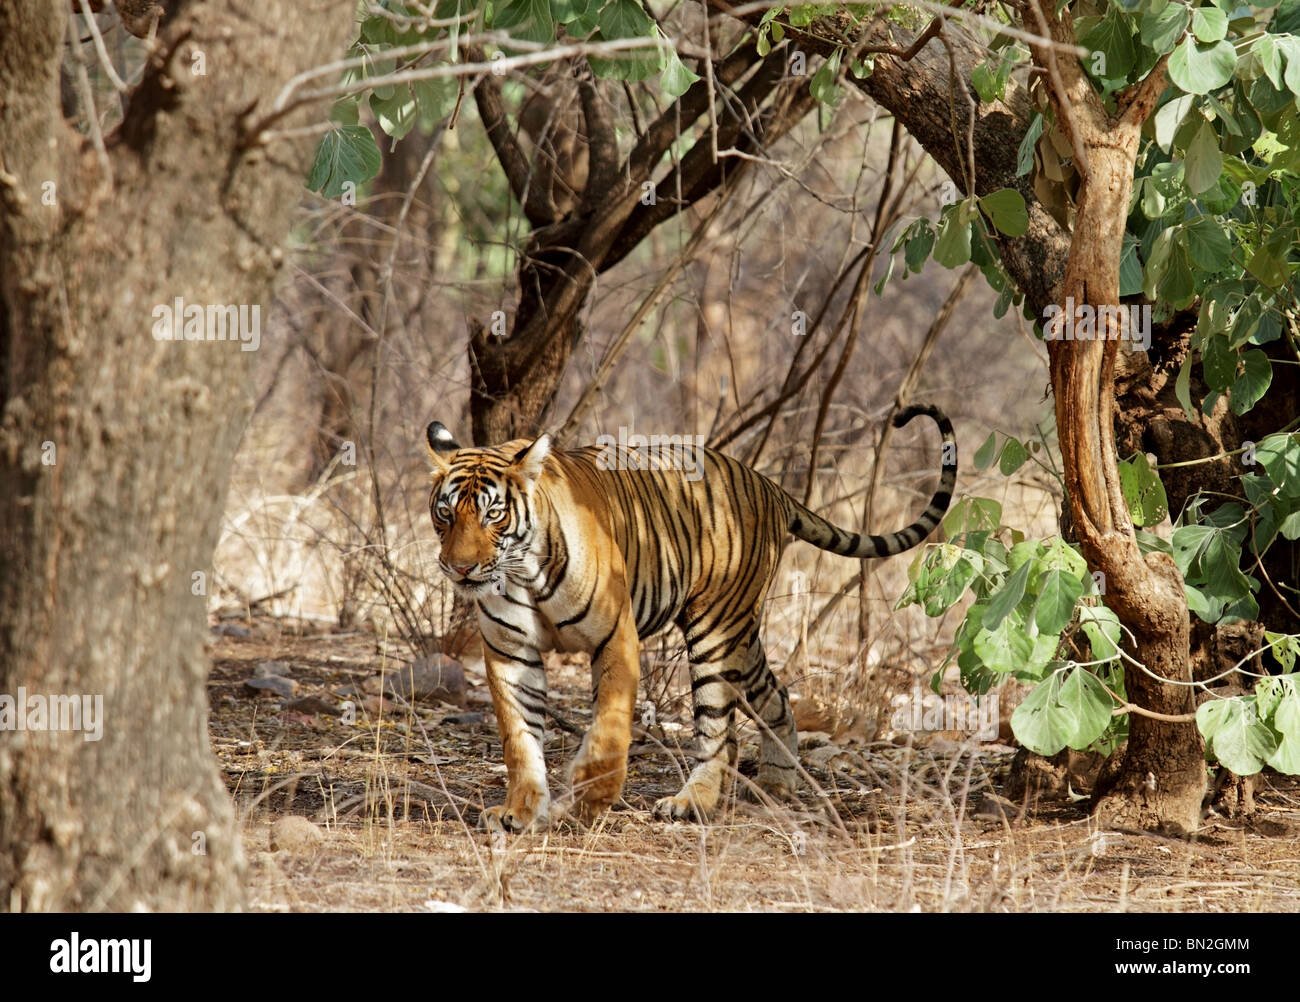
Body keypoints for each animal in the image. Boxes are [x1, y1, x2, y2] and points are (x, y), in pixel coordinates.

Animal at [426, 402, 956, 836]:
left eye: (493, 514)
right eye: (445, 514)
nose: (460, 568)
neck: (523, 573)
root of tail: (768, 484)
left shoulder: (615, 635)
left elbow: (610, 723)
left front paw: (592, 796)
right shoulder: (510, 652)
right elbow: (520, 739)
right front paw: (518, 811)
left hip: (716, 633)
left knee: (719, 732)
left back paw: (692, 802)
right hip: (741, 634)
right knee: (776, 697)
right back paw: (776, 783)